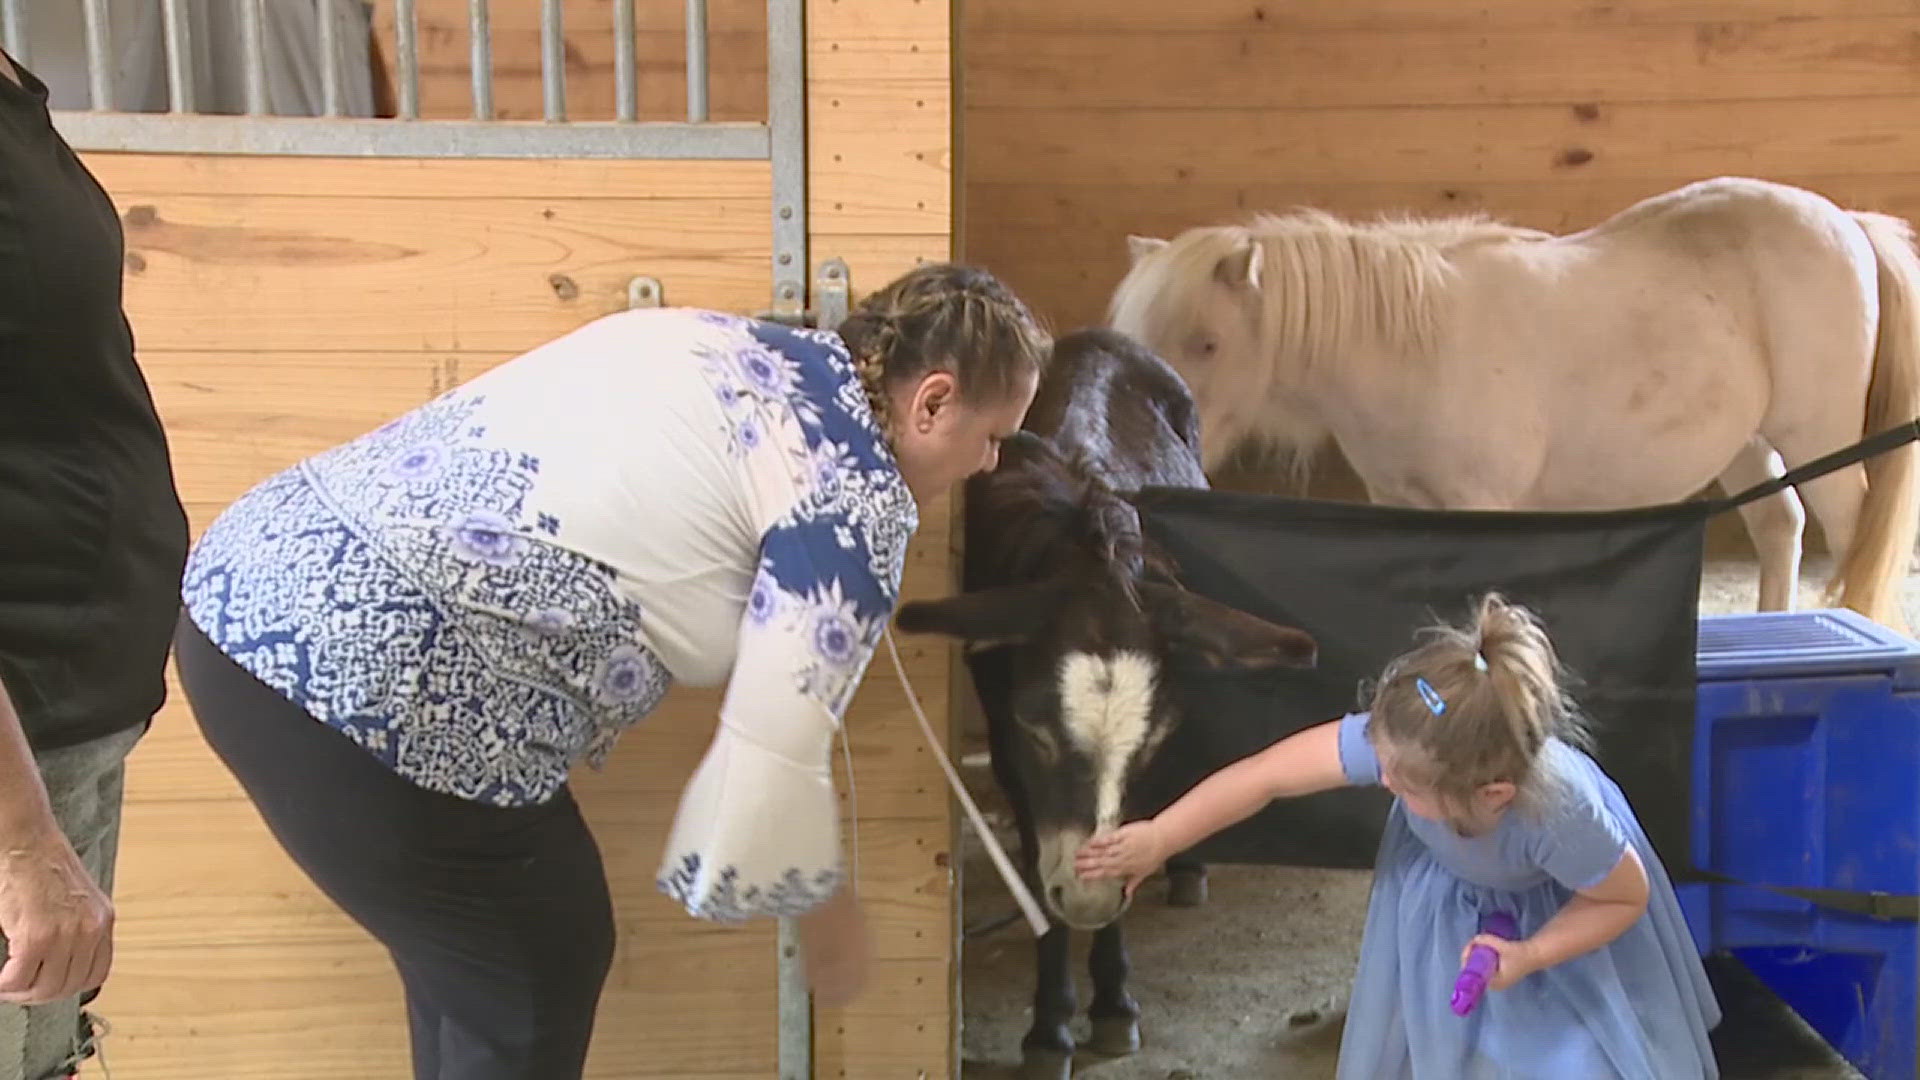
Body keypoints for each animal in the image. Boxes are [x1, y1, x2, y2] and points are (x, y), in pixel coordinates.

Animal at [898, 328, 1320, 1076]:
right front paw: (1049, 1028)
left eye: (1154, 740)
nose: (1089, 899)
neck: (1091, 550)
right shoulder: (1012, 760)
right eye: (1033, 730)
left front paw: (1114, 1005)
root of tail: (1099, 338)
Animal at [1113, 176, 1920, 630]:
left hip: (1818, 434)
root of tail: (1849, 221)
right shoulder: (1398, 504)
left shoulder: (1481, 503)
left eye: (1208, 343)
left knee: (1849, 532)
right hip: (1749, 440)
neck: (1406, 350)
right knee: (1779, 524)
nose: (1139, 457)